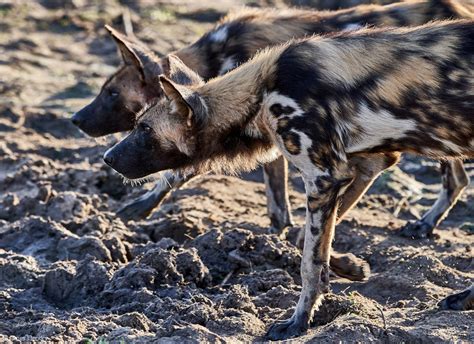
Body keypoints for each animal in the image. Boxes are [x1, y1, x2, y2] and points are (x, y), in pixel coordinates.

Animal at [72, 0, 472, 241]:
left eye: (111, 94)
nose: (75, 119)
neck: (216, 59)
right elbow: (276, 197)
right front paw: (280, 232)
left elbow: (179, 172)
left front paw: (142, 205)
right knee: (458, 178)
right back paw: (425, 224)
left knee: (454, 177)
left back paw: (425, 224)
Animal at [104, 20, 474, 340]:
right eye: (136, 122)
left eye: (144, 129)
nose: (107, 158)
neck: (259, 94)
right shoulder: (362, 165)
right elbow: (305, 241)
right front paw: (352, 268)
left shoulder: (324, 177)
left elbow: (309, 262)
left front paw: (298, 322)